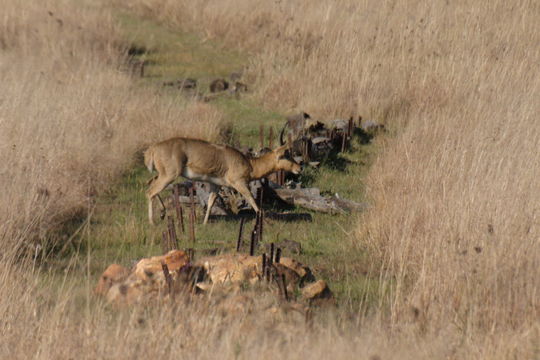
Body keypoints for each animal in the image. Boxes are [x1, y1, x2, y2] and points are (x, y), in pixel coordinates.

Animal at [143, 138, 304, 225]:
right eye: (286, 155)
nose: (299, 168)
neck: (249, 163)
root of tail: (153, 149)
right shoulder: (239, 183)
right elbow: (252, 200)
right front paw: (266, 221)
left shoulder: (216, 185)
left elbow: (210, 203)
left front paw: (204, 223)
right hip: (169, 176)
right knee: (150, 192)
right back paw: (152, 222)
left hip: (163, 175)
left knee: (150, 183)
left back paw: (162, 213)